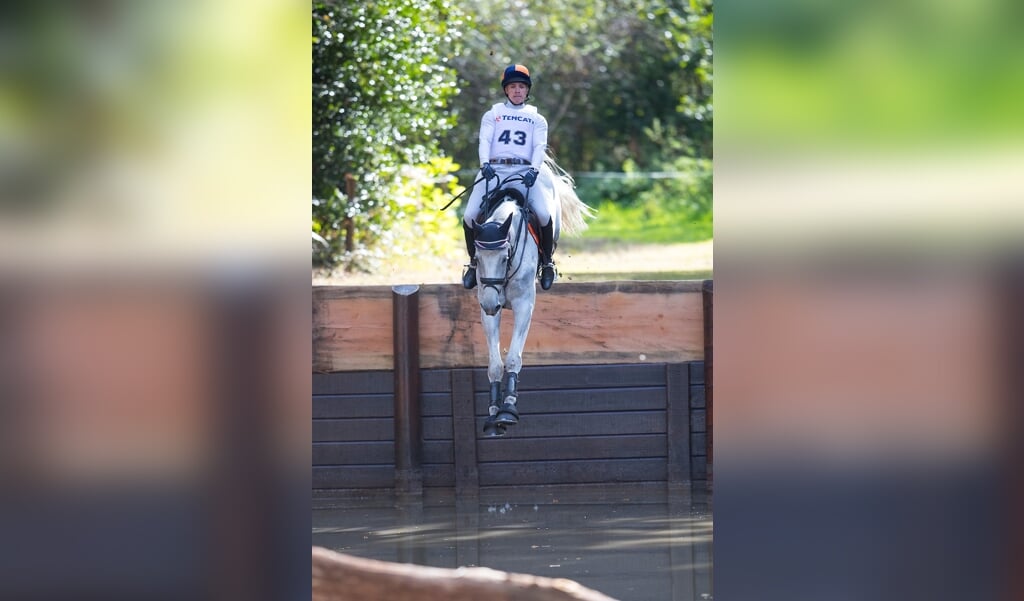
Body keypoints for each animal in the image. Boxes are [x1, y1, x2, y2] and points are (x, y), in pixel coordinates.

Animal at [468, 155, 593, 438]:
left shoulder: (525, 306)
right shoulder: (487, 310)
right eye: (477, 258)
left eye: (505, 258)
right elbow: (495, 363)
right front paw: (493, 415)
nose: (491, 304)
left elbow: (514, 357)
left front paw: (508, 410)